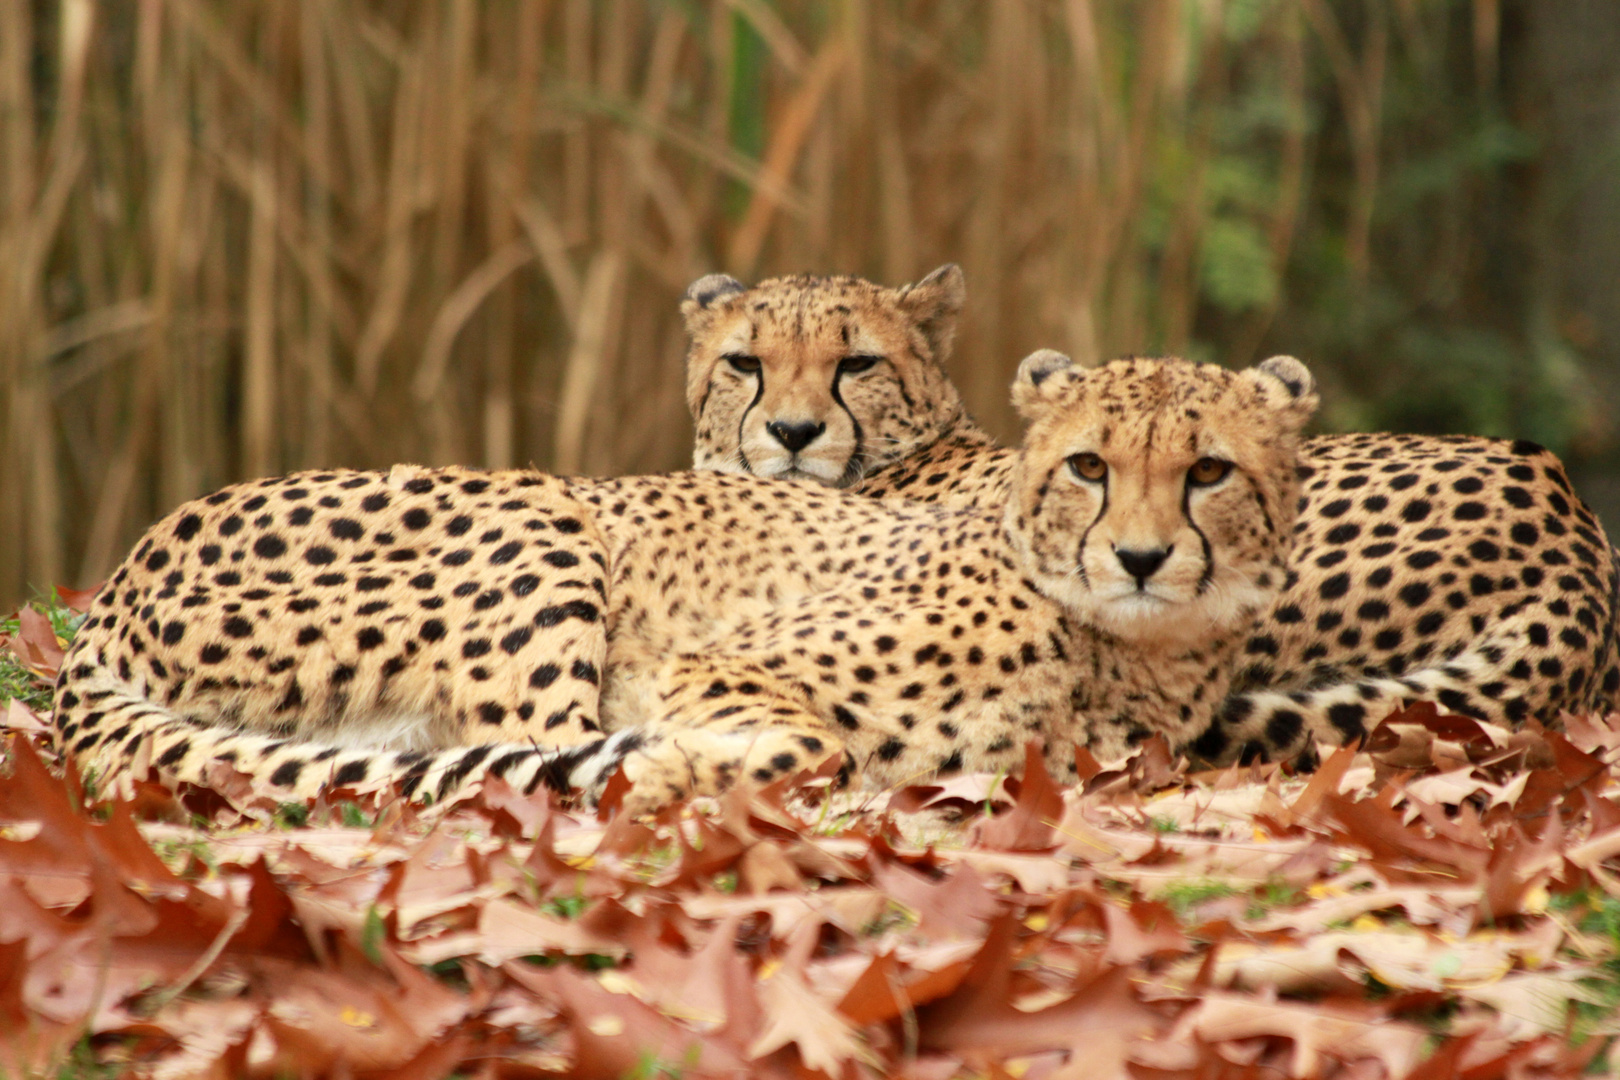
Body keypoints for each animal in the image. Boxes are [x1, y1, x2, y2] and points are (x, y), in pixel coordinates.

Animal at [53, 354, 1315, 809]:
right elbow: (808, 741)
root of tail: (118, 580)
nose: (1141, 558)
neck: (1124, 650)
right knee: (518, 742)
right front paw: (672, 767)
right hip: (541, 516)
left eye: (1208, 471)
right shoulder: (719, 663)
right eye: (1090, 466)